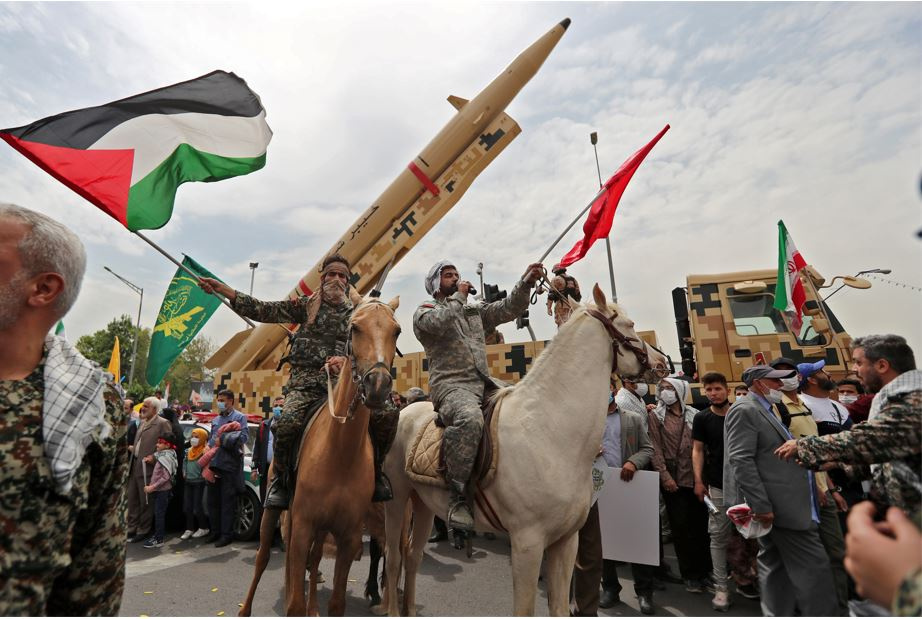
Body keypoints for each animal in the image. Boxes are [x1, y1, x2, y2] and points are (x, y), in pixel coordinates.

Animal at [378, 284, 664, 616]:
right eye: (630, 325)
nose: (663, 362)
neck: (550, 431)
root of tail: (404, 412)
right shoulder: (528, 543)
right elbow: (525, 608)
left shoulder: (566, 541)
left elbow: (559, 606)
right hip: (397, 500)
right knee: (394, 558)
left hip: (423, 503)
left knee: (413, 556)